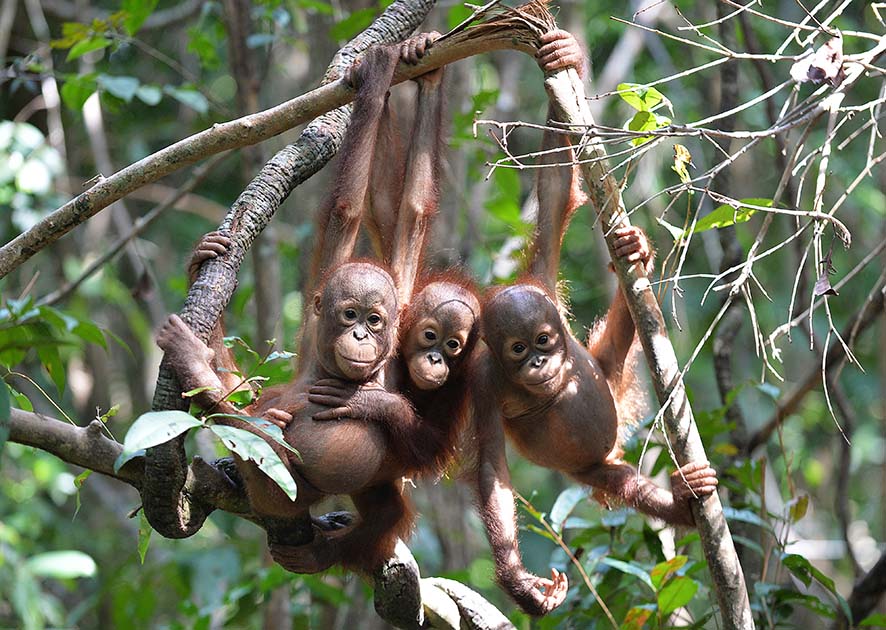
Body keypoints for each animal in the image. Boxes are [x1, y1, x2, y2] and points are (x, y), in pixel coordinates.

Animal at [468, 29, 719, 616]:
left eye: (543, 340)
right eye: (517, 350)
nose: (539, 363)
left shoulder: (541, 284)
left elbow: (555, 192)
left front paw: (561, 56)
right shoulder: (483, 381)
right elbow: (492, 470)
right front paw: (519, 582)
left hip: (609, 376)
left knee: (622, 333)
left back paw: (636, 251)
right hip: (590, 467)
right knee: (624, 483)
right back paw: (680, 501)